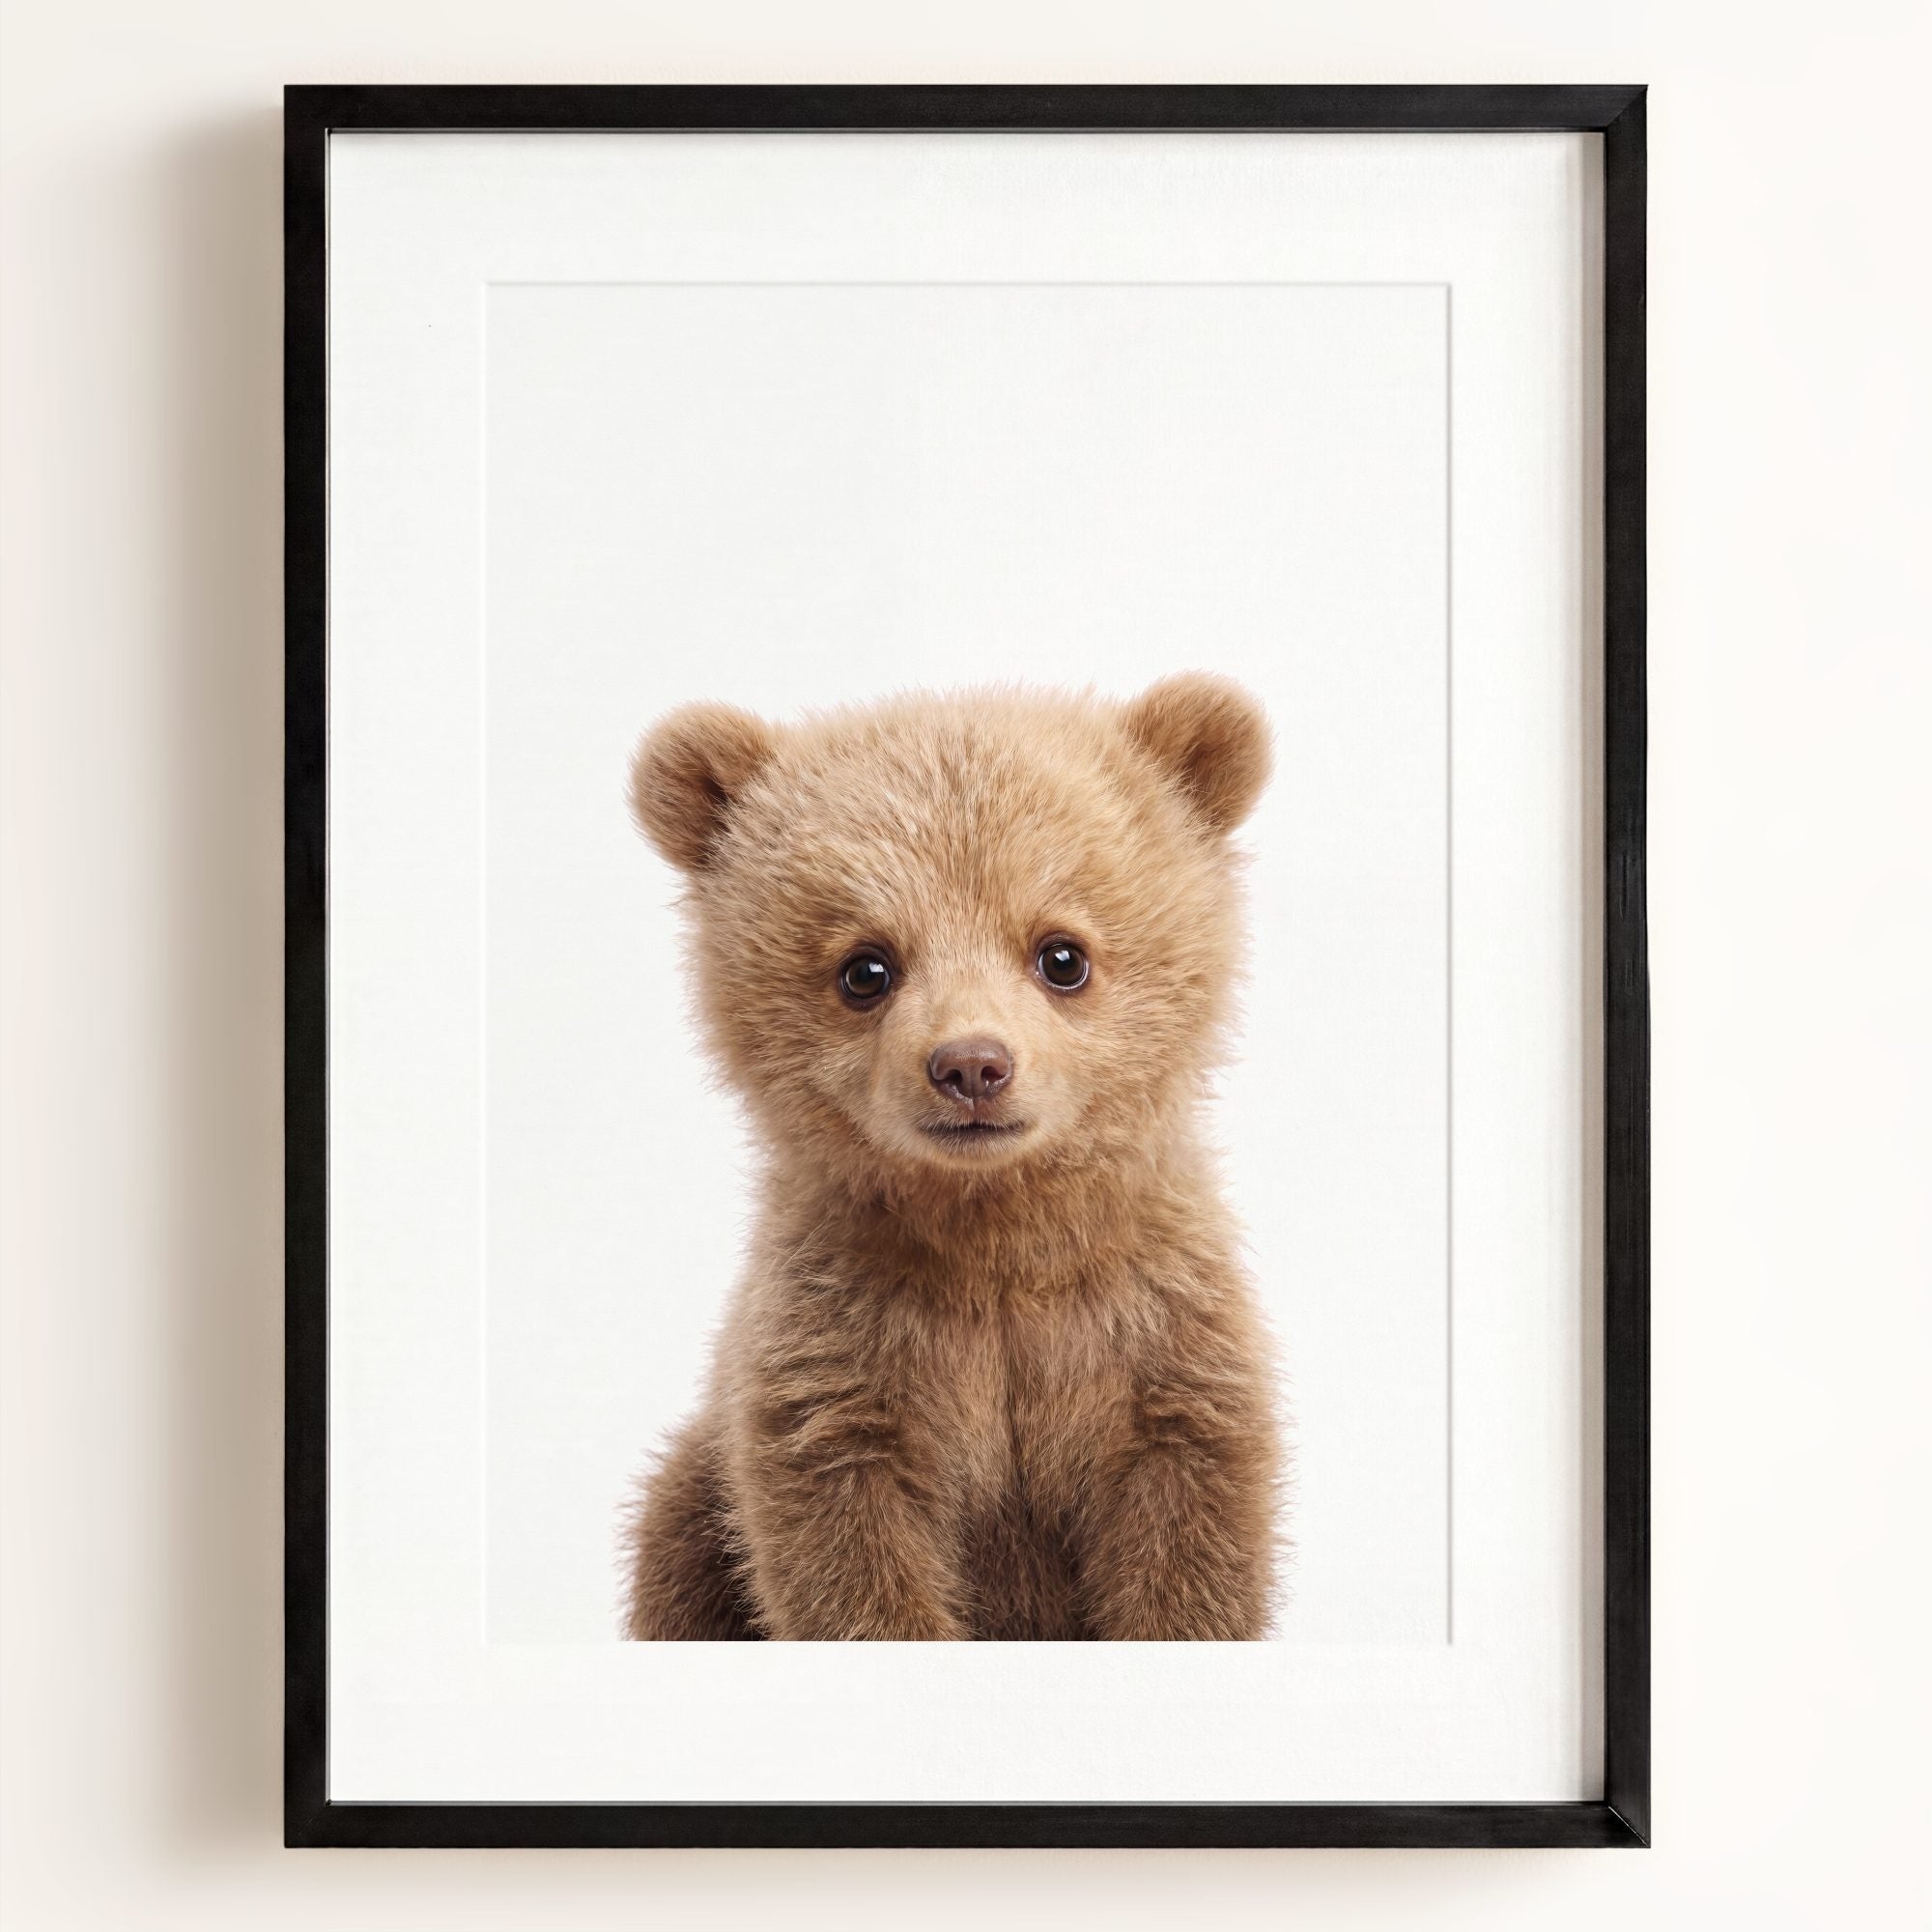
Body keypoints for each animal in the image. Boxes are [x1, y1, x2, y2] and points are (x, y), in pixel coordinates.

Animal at [619, 675, 1282, 1640]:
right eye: (865, 967)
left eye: (1062, 954)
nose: (971, 1065)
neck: (995, 1238)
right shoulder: (841, 1361)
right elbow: (848, 1558)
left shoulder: (1155, 1341)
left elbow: (1189, 1545)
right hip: (693, 1506)